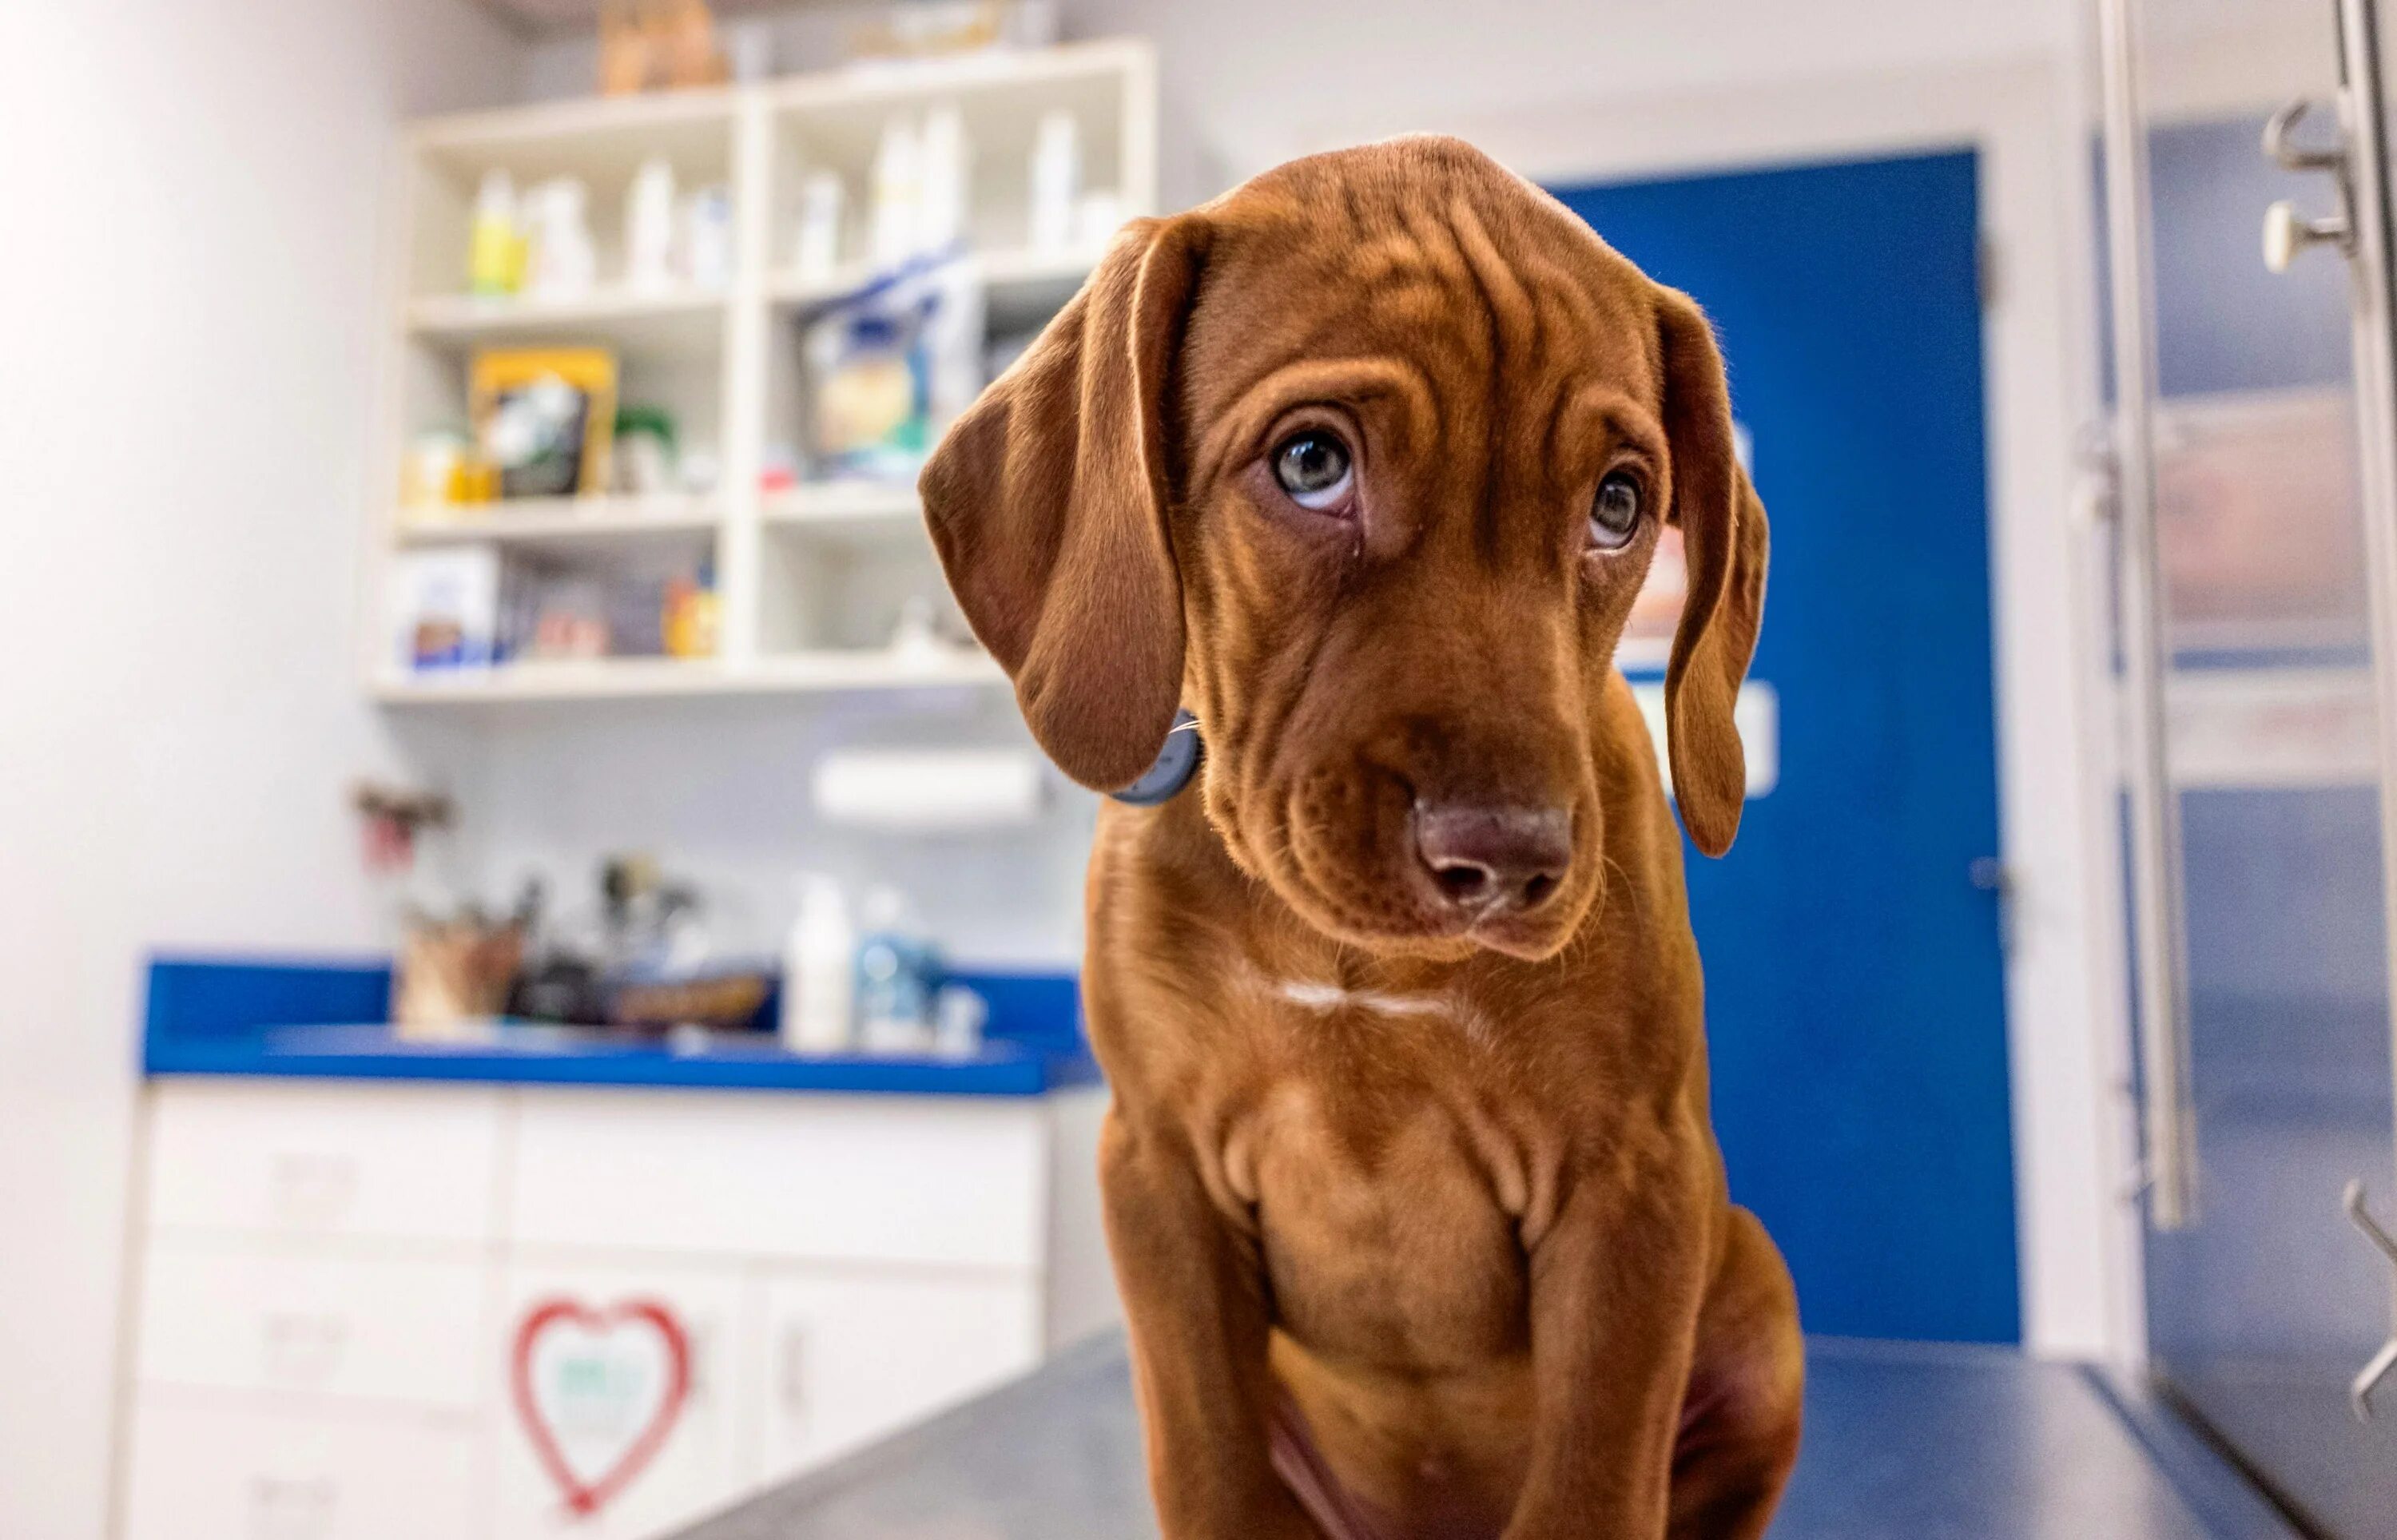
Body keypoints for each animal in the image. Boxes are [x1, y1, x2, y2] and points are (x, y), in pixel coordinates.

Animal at [916, 135, 1803, 1540]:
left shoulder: (1636, 1184)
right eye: (1312, 464)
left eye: (1618, 505)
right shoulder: (1158, 1174)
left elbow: (1596, 1480)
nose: (1509, 860)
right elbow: (1211, 1468)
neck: (1354, 958)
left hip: (1757, 1295)